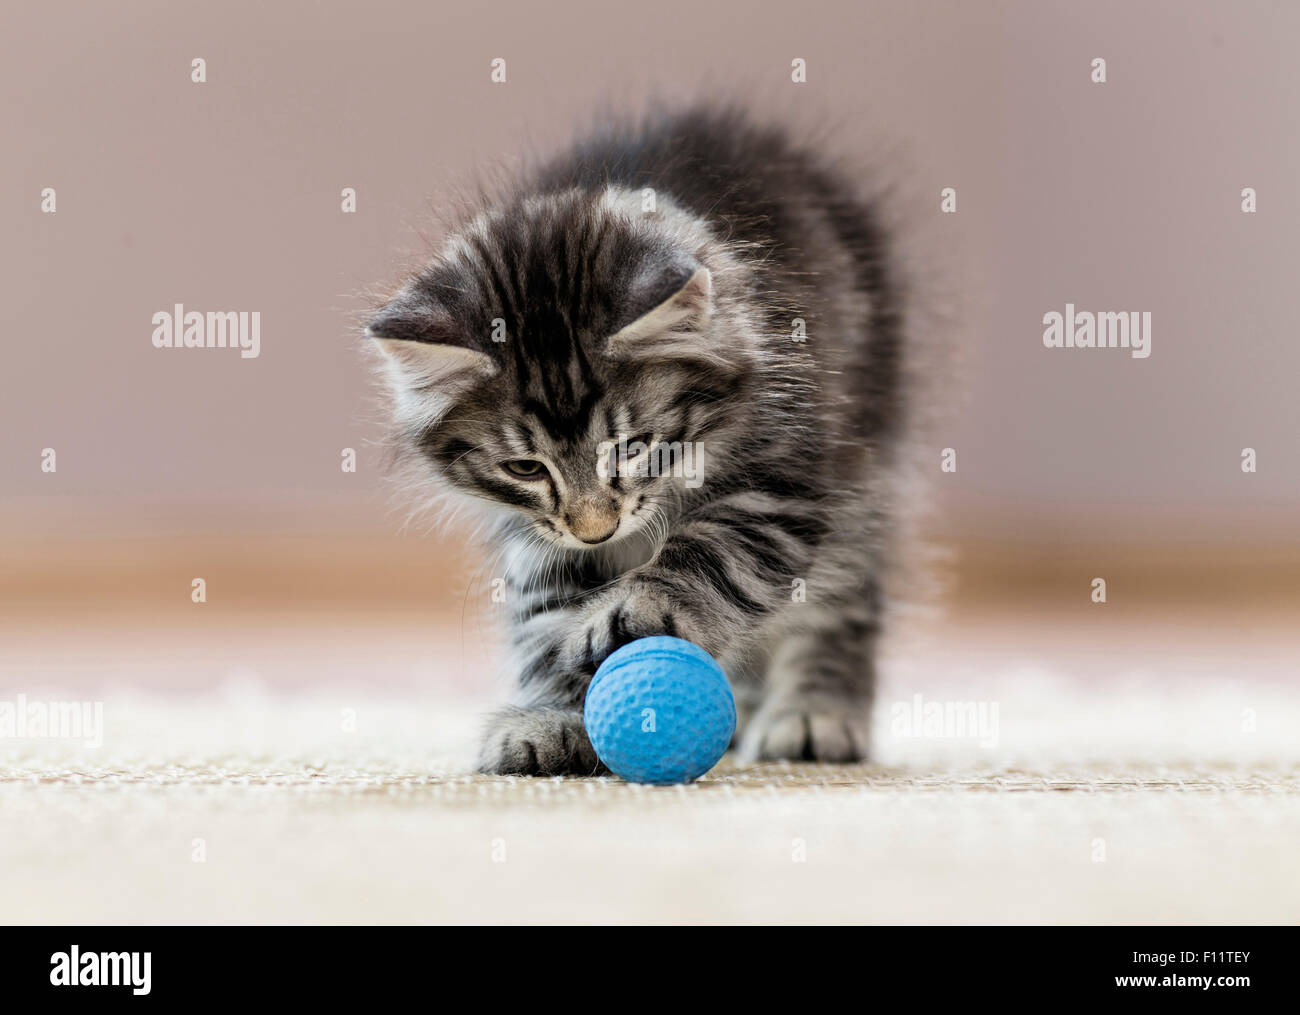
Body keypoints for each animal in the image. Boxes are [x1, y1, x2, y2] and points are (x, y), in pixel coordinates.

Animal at [371, 107, 904, 774]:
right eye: (525, 468)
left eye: (632, 447)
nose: (595, 531)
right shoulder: (534, 534)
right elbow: (545, 619)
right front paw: (554, 716)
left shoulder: (784, 473)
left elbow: (716, 550)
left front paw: (642, 608)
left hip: (864, 459)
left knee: (844, 598)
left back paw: (814, 715)